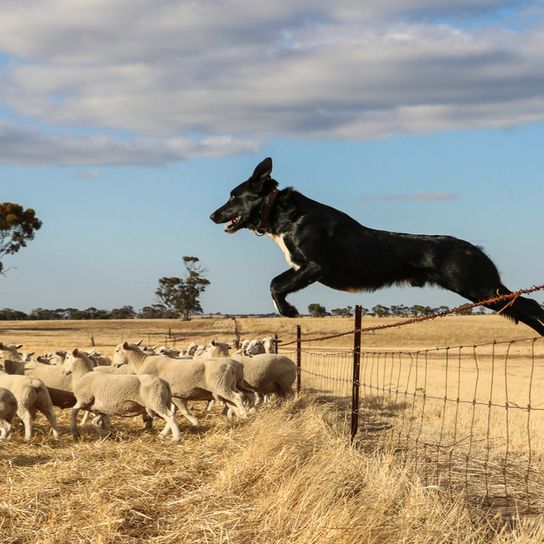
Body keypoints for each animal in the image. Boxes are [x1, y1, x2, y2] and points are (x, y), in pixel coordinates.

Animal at [112, 342, 249, 428]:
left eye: (117, 350)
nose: (114, 364)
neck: (141, 362)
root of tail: (231, 366)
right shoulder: (176, 396)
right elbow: (175, 411)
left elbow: (183, 412)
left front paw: (195, 422)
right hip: (228, 386)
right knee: (240, 397)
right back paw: (240, 414)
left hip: (221, 387)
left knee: (237, 397)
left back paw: (244, 414)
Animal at [209, 157, 544, 336]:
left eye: (234, 196)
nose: (213, 215)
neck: (284, 213)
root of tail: (475, 249)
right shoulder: (302, 267)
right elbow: (276, 282)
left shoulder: (315, 266)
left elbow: (275, 285)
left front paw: (289, 311)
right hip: (482, 289)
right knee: (527, 305)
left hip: (479, 288)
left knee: (528, 304)